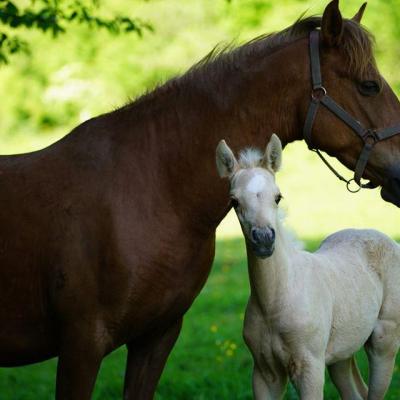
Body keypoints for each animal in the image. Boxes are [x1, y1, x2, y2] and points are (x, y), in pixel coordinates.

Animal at [217, 135, 400, 400]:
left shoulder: (310, 368)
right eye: (234, 201)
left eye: (278, 197)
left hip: (384, 341)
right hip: (341, 353)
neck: (275, 302)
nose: (264, 240)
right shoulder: (264, 373)